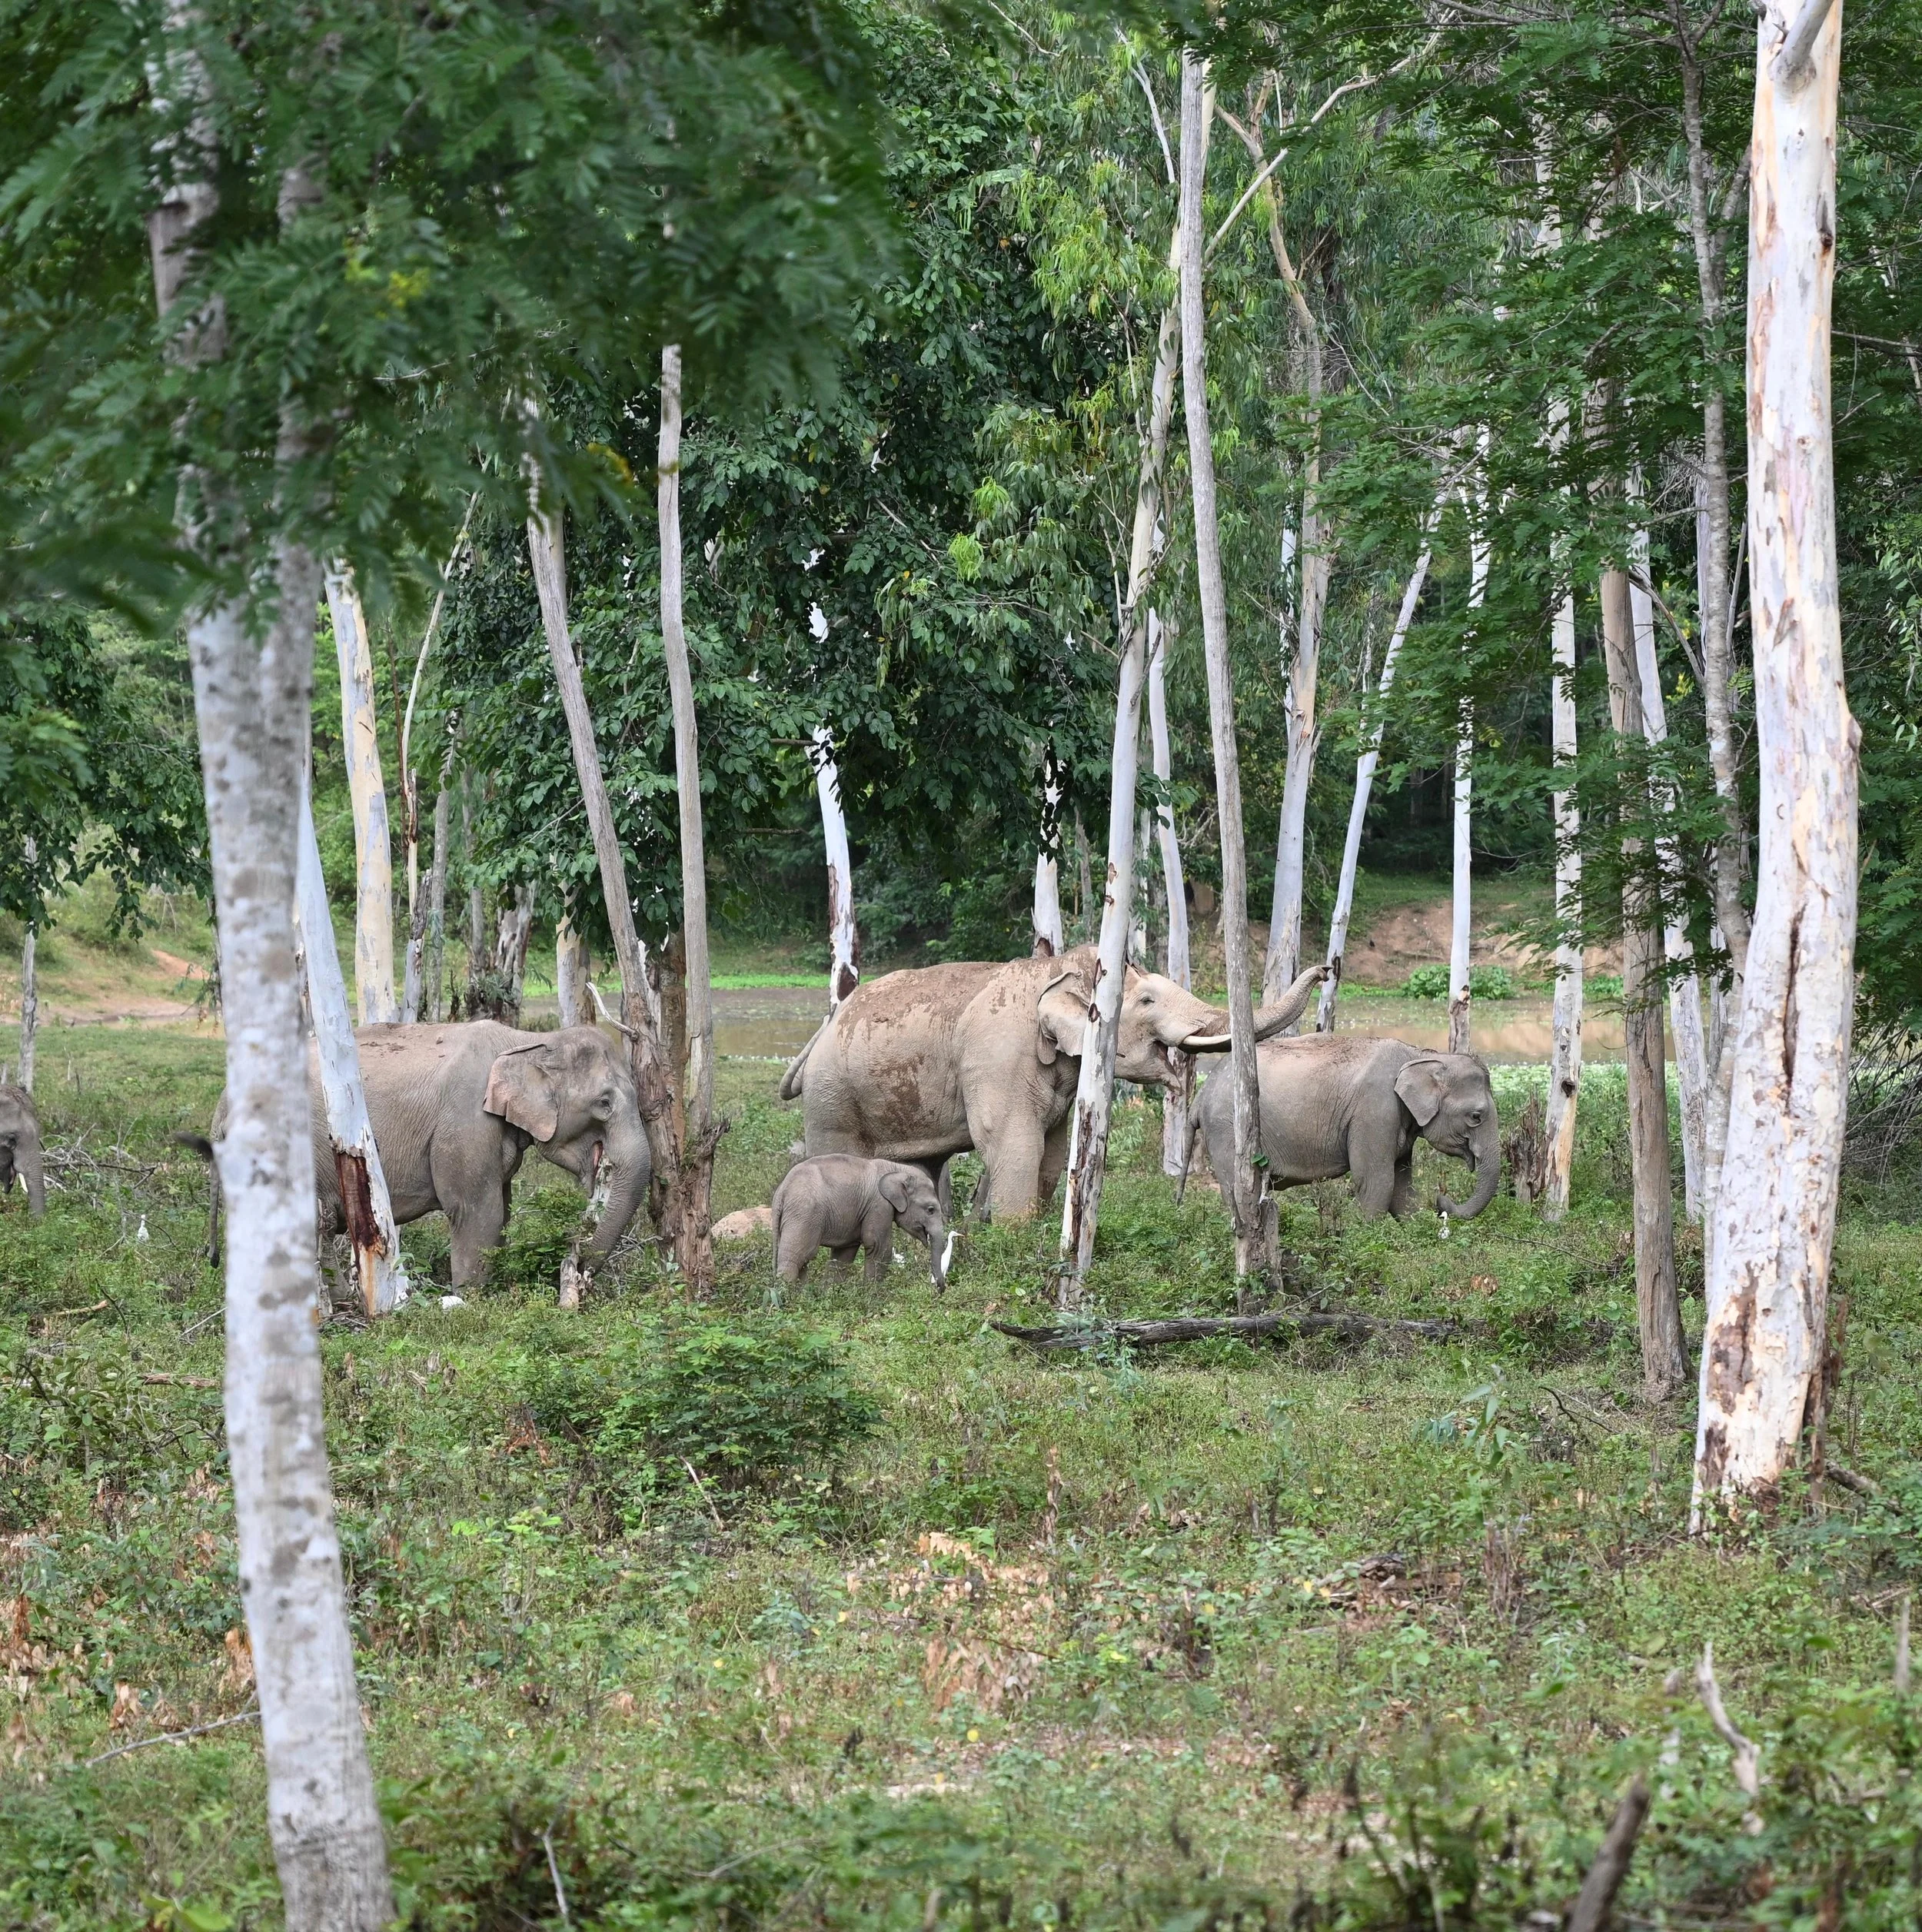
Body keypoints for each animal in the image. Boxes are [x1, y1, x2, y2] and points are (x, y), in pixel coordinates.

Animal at [194, 1021, 650, 1288]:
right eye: (604, 1103)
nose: (574, 1258)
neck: (528, 1041)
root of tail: (220, 1106)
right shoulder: (465, 1122)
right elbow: (477, 1212)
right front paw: (471, 1302)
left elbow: (501, 1209)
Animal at [771, 1154, 953, 1288]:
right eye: (930, 1210)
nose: (940, 1288)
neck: (897, 1169)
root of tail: (781, 1192)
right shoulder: (879, 1205)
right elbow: (879, 1247)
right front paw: (872, 1295)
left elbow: (844, 1254)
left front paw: (830, 1293)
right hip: (803, 1215)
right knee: (797, 1257)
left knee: (802, 1260)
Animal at [780, 946, 1327, 1222]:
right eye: (1147, 1000)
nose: (1325, 969)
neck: (1054, 968)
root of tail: (822, 1030)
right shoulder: (997, 1057)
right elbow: (1012, 1143)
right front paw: (1015, 1236)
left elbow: (1055, 1147)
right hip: (832, 1098)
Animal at [1193, 1034, 1501, 1221]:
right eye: (1476, 1116)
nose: (1441, 1201)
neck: (1419, 1055)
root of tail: (1201, 1093)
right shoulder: (1375, 1112)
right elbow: (1377, 1182)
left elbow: (1402, 1188)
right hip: (1225, 1129)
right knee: (1236, 1189)